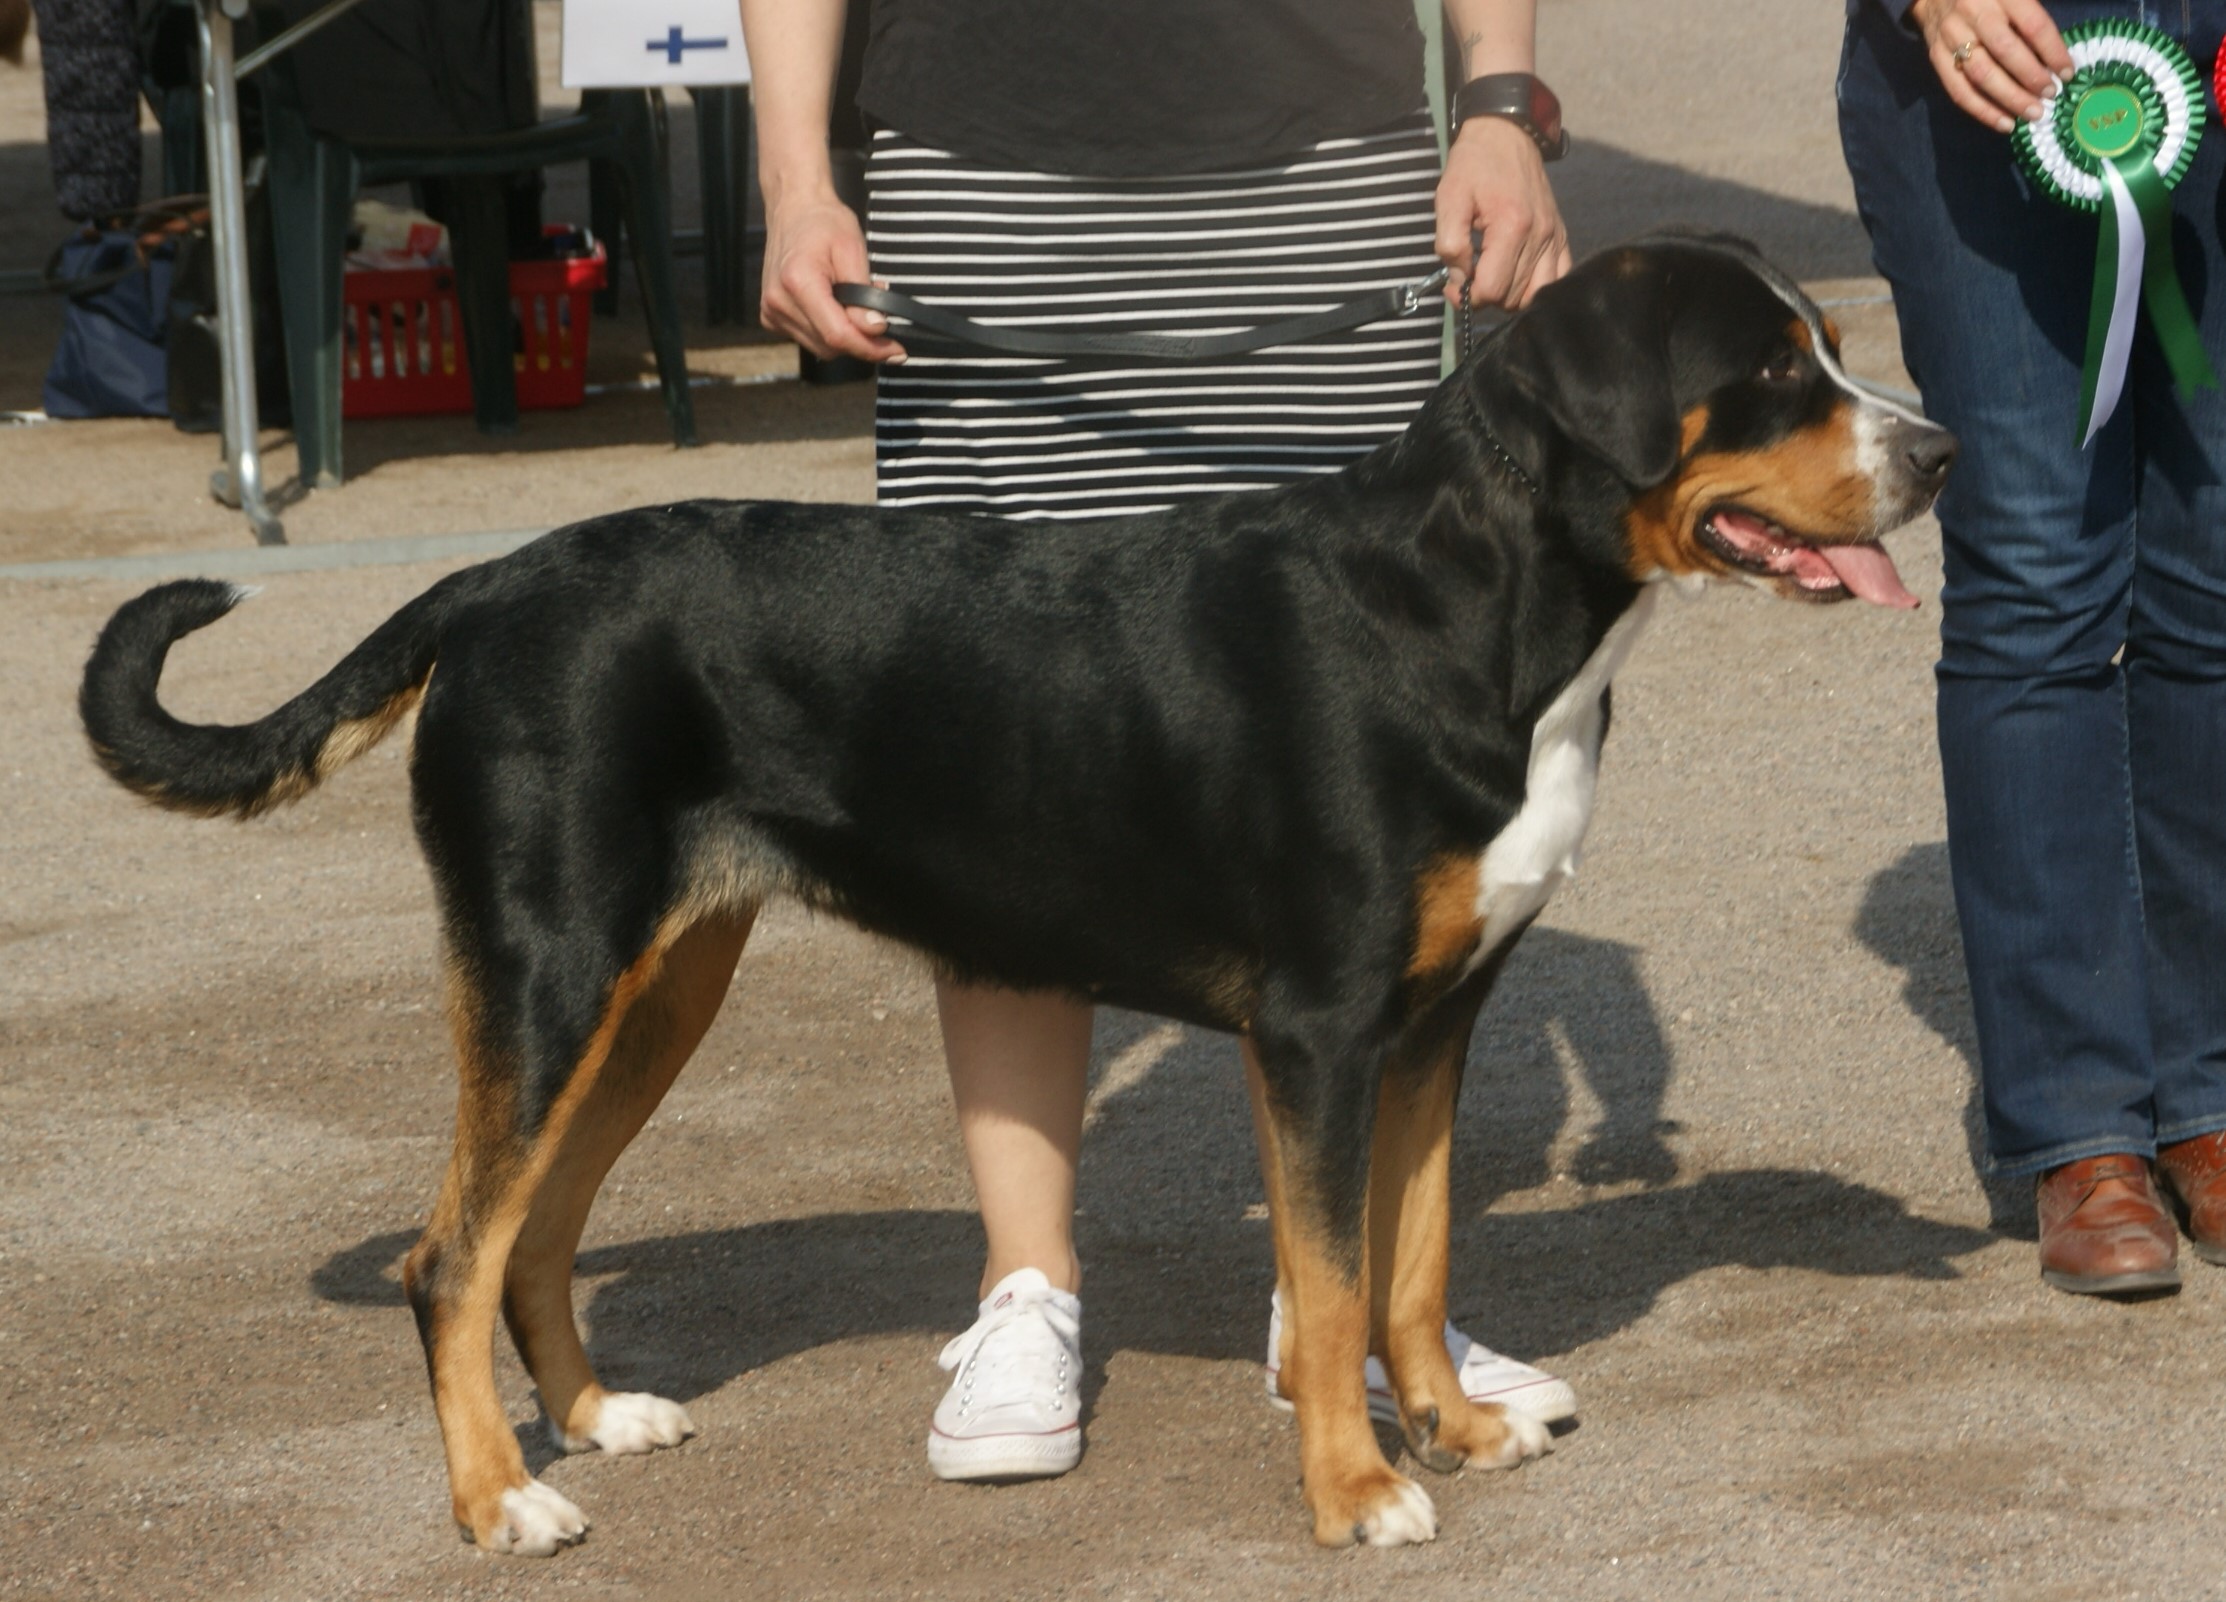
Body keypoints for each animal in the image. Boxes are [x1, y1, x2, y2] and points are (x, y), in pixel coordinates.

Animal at [74, 234, 1949, 1548]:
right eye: (1769, 371)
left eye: (1829, 351)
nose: (1932, 453)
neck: (1470, 608)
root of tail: (485, 582)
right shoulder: (1320, 1027)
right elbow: (1338, 1274)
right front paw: (1355, 1489)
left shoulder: (1435, 1020)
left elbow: (1410, 1263)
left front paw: (1453, 1425)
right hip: (547, 968)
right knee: (447, 1251)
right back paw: (501, 1501)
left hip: (655, 986)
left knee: (535, 1225)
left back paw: (599, 1418)